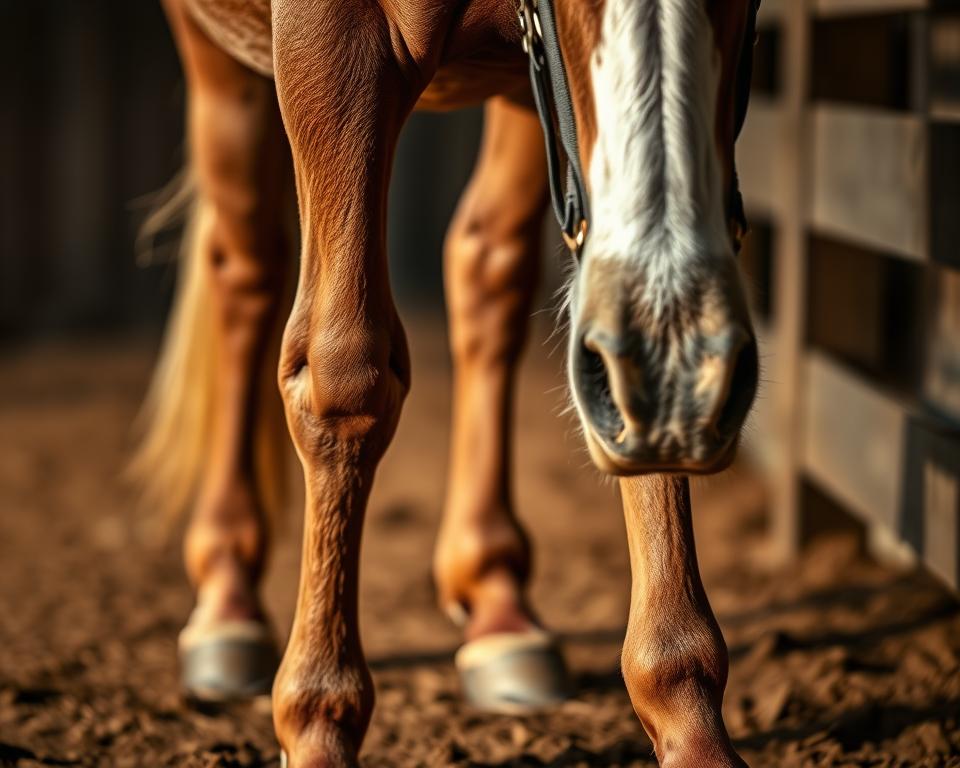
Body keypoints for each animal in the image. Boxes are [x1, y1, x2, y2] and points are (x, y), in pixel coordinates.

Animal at [135, 0, 761, 765]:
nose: (679, 377)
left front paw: (691, 726)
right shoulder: (335, 36)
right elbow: (345, 371)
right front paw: (317, 723)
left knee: (485, 266)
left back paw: (496, 602)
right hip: (216, 61)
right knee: (245, 262)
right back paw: (227, 599)